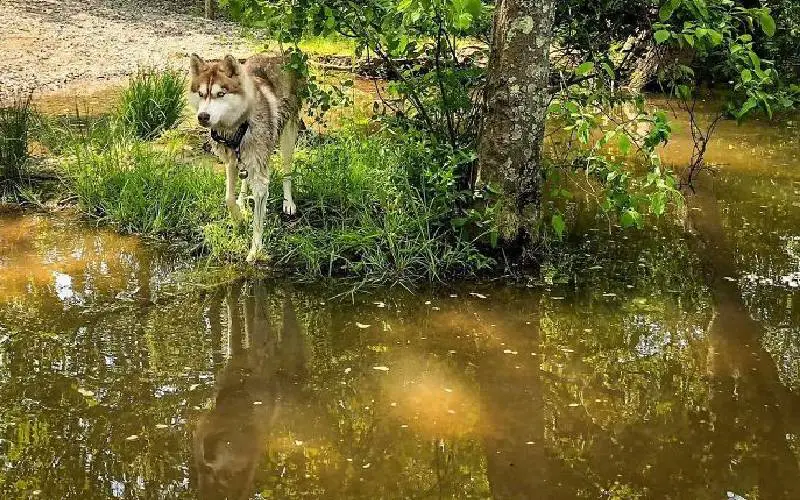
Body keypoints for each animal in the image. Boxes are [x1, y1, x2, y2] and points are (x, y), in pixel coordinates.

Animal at [189, 54, 302, 264]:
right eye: (201, 94)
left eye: (221, 94)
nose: (203, 116)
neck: (238, 126)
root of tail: (278, 55)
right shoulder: (230, 161)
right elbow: (228, 198)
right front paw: (239, 218)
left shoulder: (260, 180)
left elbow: (258, 221)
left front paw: (255, 250)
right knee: (243, 180)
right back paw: (242, 201)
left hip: (288, 137)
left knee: (287, 172)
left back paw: (288, 203)